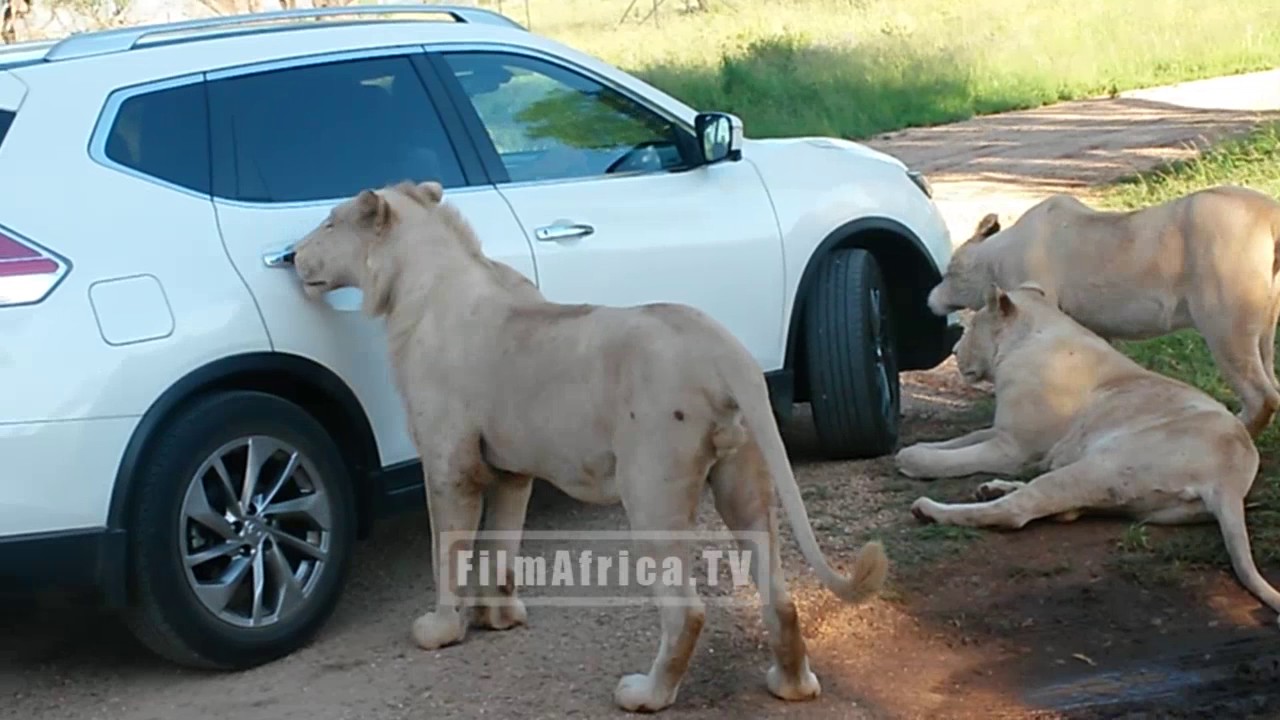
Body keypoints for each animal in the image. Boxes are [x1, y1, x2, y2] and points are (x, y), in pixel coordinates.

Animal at [290, 180, 890, 712]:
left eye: (328, 222)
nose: (292, 255)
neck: (417, 283)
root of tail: (722, 349)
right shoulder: (512, 471)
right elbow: (501, 546)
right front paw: (499, 618)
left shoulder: (448, 464)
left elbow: (449, 553)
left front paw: (440, 630)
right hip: (743, 478)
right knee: (780, 598)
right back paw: (792, 685)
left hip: (651, 488)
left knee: (686, 611)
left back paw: (646, 695)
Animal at [896, 282, 1280, 624]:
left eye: (972, 326)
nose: (954, 350)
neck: (1031, 333)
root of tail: (1230, 480)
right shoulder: (1001, 431)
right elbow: (960, 441)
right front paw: (917, 447)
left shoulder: (1013, 448)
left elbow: (958, 458)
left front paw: (911, 460)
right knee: (1061, 509)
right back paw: (992, 488)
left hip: (1101, 466)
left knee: (1018, 510)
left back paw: (931, 509)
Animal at [925, 185, 1280, 438]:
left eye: (948, 273)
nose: (931, 298)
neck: (995, 258)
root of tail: (1269, 213)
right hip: (1263, 326)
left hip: (1225, 321)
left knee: (1261, 395)